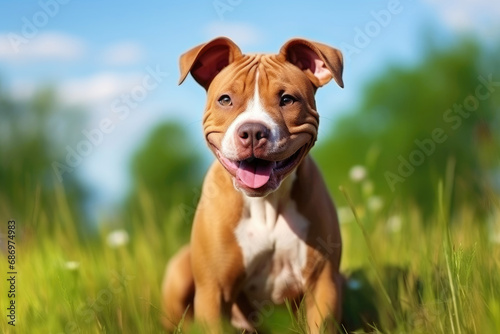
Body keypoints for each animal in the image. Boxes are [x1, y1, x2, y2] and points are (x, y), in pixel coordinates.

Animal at [162, 37, 346, 334]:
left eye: (287, 99)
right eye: (225, 99)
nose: (252, 131)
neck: (265, 204)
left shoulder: (323, 283)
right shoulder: (213, 291)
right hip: (178, 274)